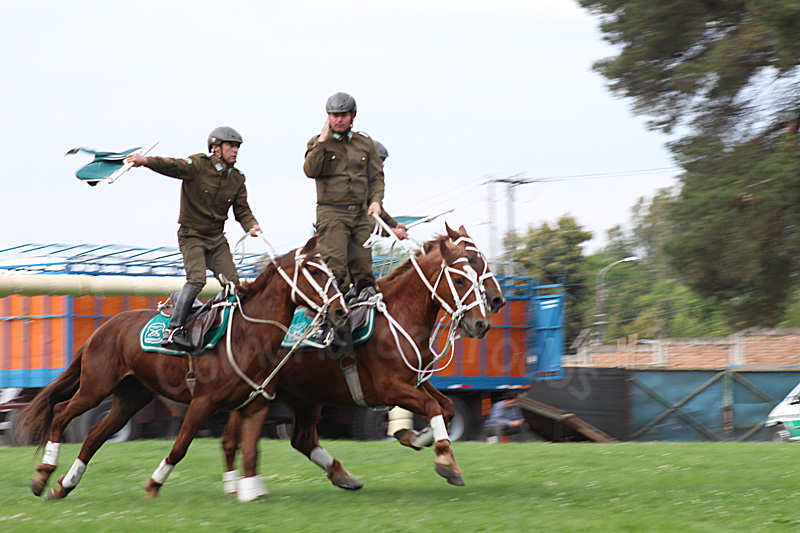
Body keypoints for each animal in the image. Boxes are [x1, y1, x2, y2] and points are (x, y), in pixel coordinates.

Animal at [19, 236, 347, 502]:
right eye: (315, 272)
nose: (340, 310)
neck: (246, 335)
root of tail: (102, 330)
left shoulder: (254, 406)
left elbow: (251, 451)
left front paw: (250, 491)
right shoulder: (202, 403)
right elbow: (180, 447)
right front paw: (153, 484)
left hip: (130, 398)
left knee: (95, 436)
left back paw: (64, 485)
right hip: (95, 387)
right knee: (61, 413)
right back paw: (43, 474)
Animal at [220, 224, 504, 493]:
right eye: (460, 278)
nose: (482, 322)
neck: (401, 315)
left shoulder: (416, 381)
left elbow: (447, 407)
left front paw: (413, 436)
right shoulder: (389, 388)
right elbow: (434, 407)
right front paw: (446, 461)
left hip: (303, 396)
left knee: (302, 439)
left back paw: (341, 476)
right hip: (255, 392)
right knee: (233, 439)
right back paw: (236, 486)